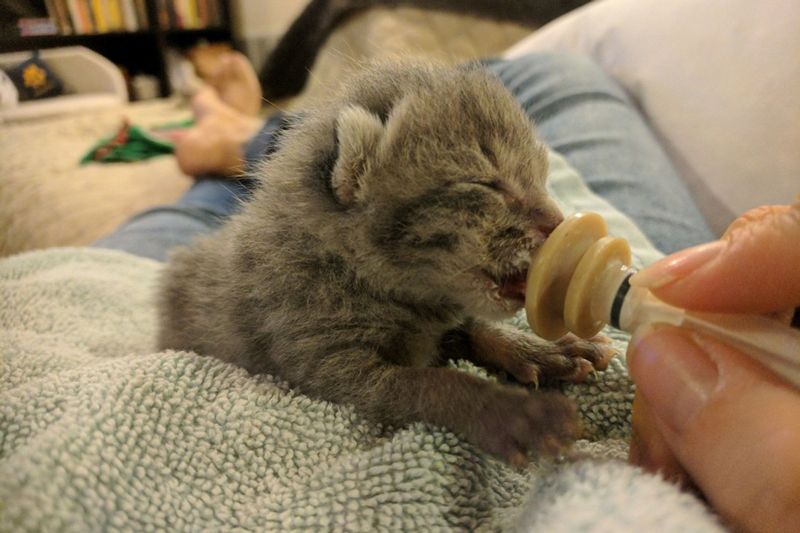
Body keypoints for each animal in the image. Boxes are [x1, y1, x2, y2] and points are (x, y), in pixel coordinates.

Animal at [159, 61, 608, 462]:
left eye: (540, 177)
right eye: (486, 184)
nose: (557, 222)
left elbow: (479, 330)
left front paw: (544, 350)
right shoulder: (328, 367)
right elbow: (435, 383)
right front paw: (515, 414)